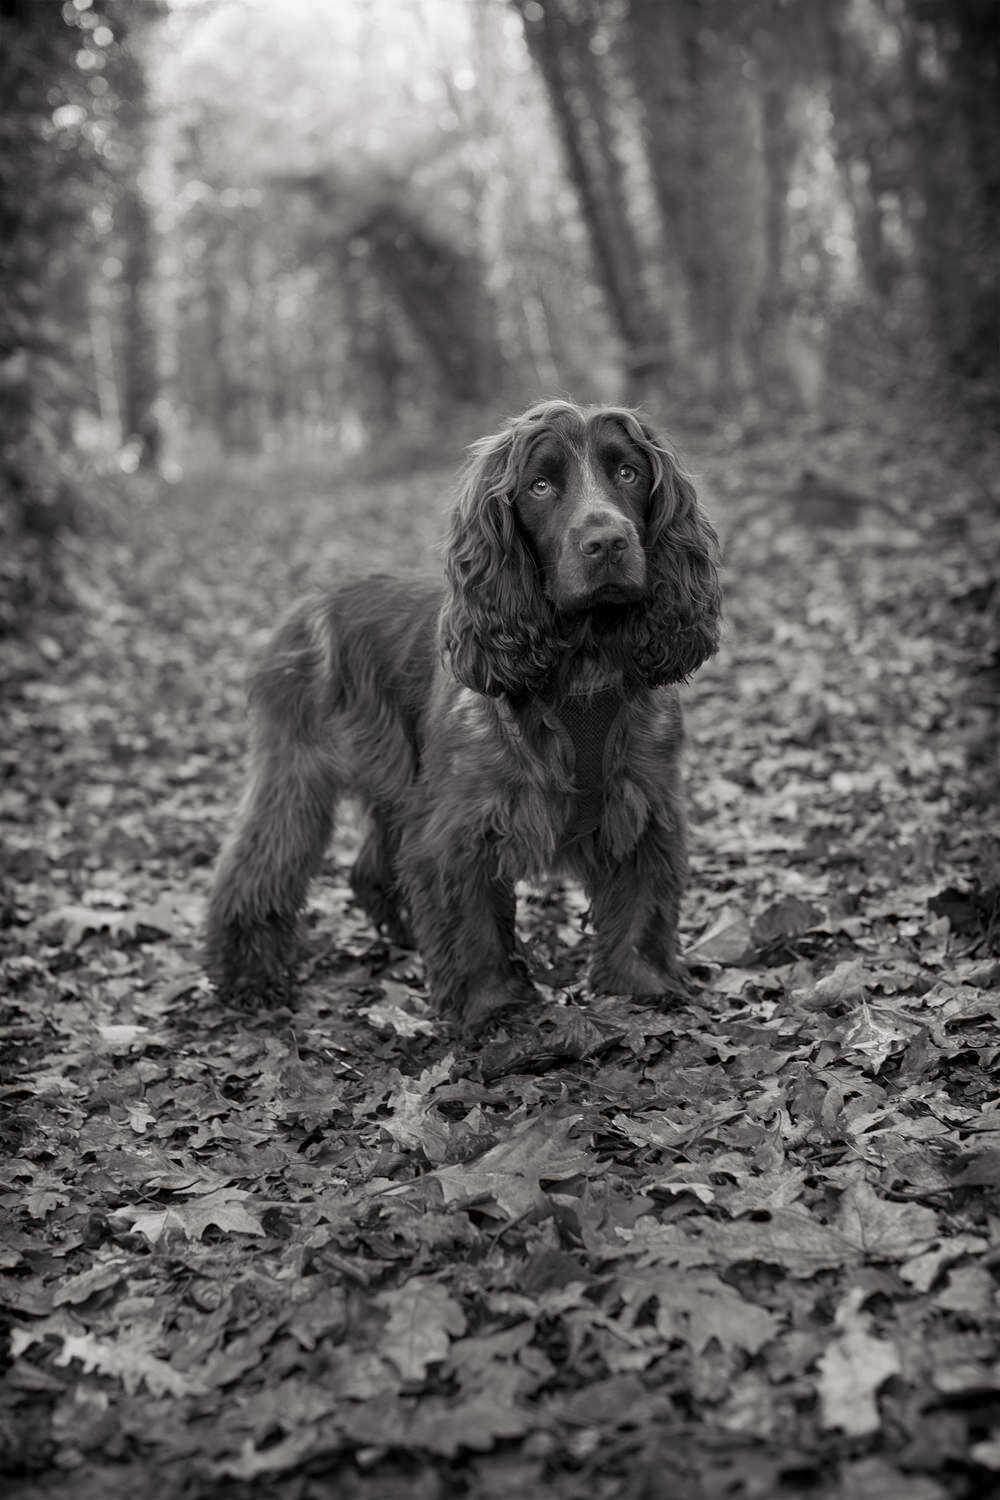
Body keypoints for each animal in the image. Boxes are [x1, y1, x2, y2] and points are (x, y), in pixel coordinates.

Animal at [205, 399, 719, 1032]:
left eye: (628, 473)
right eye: (540, 486)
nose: (607, 542)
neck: (583, 660)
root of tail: (307, 606)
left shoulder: (644, 801)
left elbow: (642, 904)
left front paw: (641, 985)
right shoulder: (463, 825)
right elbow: (470, 922)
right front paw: (490, 1005)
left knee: (372, 867)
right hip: (296, 770)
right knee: (256, 865)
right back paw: (246, 976)